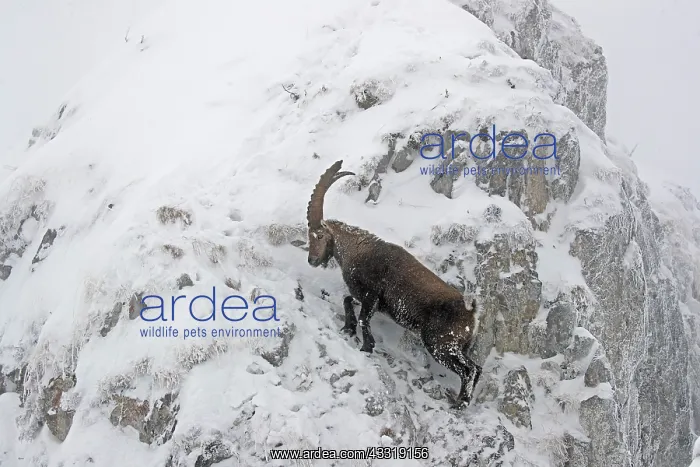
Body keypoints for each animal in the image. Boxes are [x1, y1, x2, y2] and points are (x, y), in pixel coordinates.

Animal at [306, 160, 482, 405]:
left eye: (319, 236)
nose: (312, 260)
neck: (356, 251)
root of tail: (471, 311)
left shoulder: (371, 296)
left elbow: (363, 319)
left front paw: (366, 346)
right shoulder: (368, 298)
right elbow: (347, 300)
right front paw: (348, 328)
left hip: (440, 344)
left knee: (469, 370)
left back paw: (460, 403)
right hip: (457, 346)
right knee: (477, 368)